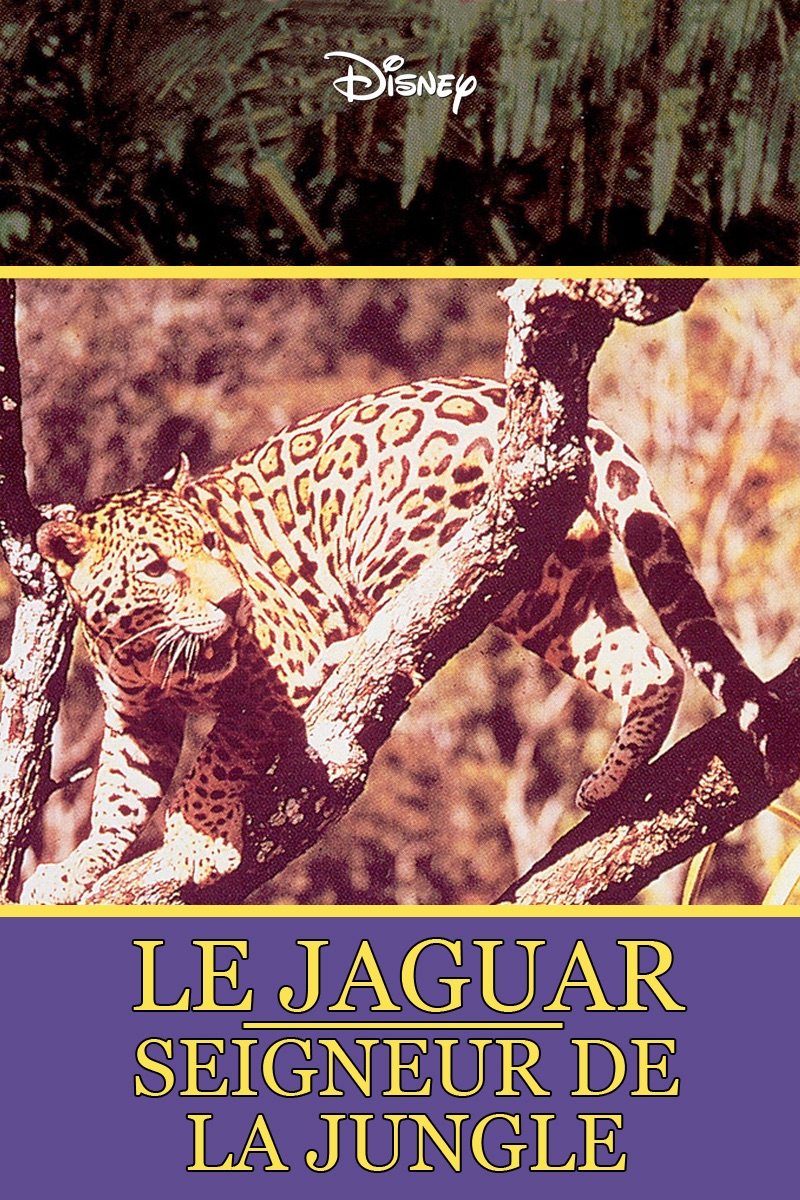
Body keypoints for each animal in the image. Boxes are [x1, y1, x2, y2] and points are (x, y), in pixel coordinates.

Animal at [18, 376, 792, 903]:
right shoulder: (137, 720)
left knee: (422, 592)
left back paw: (346, 650)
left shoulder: (271, 677)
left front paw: (197, 842)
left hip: (389, 534)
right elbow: (117, 797)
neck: (141, 644)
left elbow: (218, 756)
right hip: (552, 597)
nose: (231, 599)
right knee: (652, 664)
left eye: (211, 544)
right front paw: (73, 870)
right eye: (156, 567)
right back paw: (611, 779)